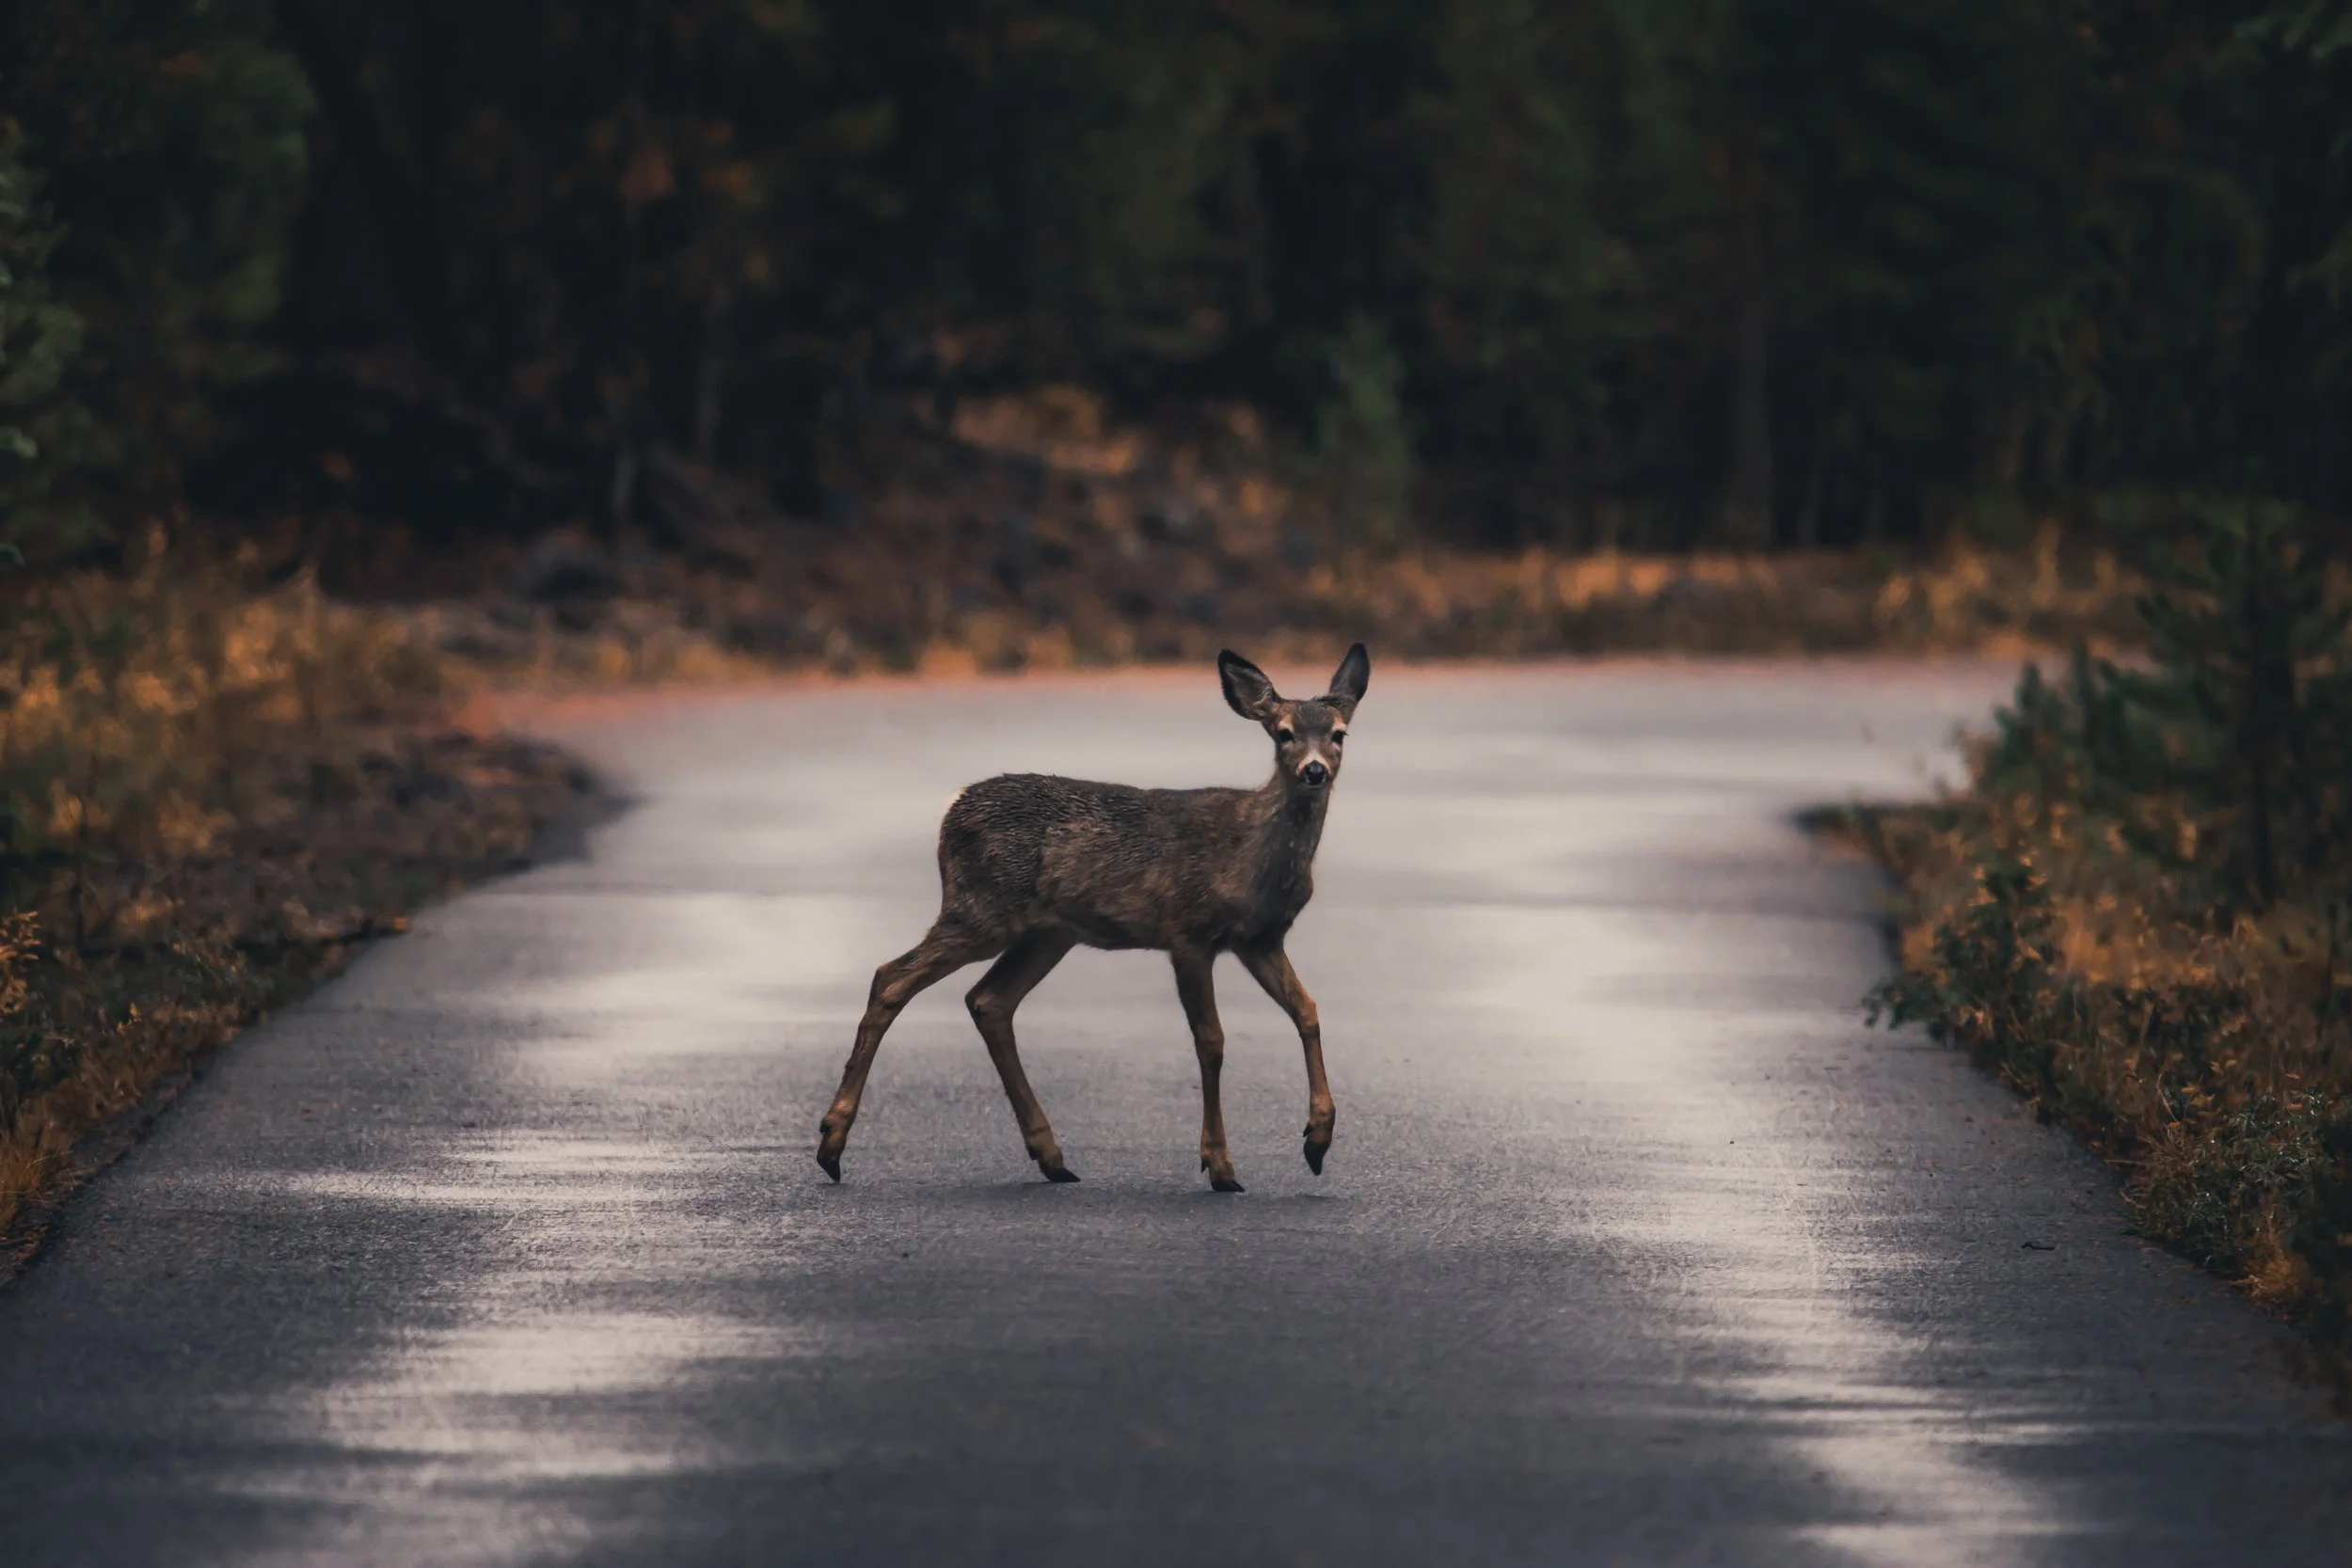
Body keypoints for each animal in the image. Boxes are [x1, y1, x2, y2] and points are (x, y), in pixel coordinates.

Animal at [816, 643, 1370, 1192]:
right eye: (1284, 733)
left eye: (1339, 733)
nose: (1314, 770)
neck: (1251, 855)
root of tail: (952, 811)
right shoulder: (1188, 930)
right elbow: (1211, 1040)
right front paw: (1219, 1164)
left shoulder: (1260, 939)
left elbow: (1307, 1010)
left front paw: (1317, 1140)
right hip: (981, 908)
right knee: (891, 977)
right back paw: (831, 1145)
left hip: (1047, 932)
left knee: (988, 1000)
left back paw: (1051, 1156)